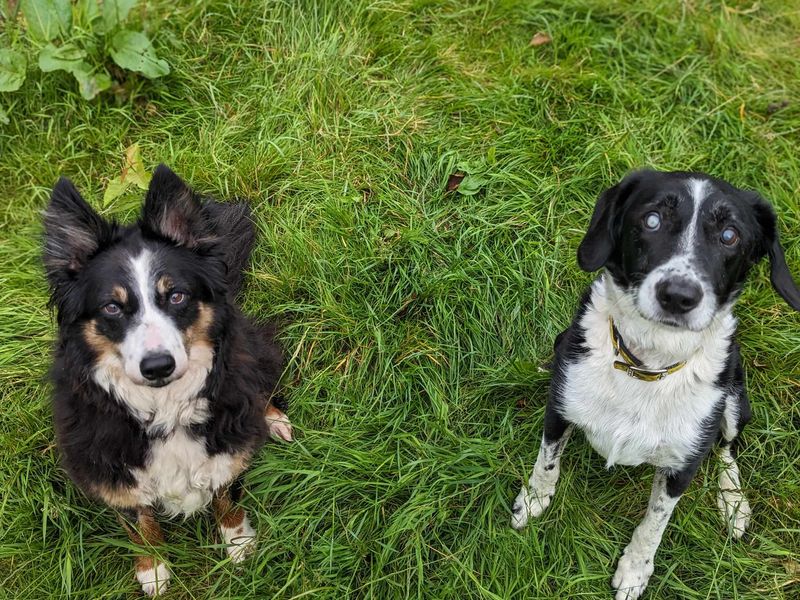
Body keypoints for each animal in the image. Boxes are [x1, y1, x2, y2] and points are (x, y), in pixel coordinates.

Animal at [43, 164, 294, 596]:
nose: (157, 366)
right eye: (111, 307)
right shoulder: (111, 470)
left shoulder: (226, 447)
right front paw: (154, 570)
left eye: (176, 296)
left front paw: (239, 545)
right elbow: (139, 523)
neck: (164, 409)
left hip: (250, 350)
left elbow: (226, 495)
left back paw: (274, 420)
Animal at [512, 170, 800, 600]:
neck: (646, 364)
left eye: (729, 235)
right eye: (652, 220)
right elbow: (546, 462)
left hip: (735, 398)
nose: (678, 296)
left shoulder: (683, 466)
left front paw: (635, 570)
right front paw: (532, 501)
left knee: (728, 448)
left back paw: (733, 503)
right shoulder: (559, 408)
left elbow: (655, 522)